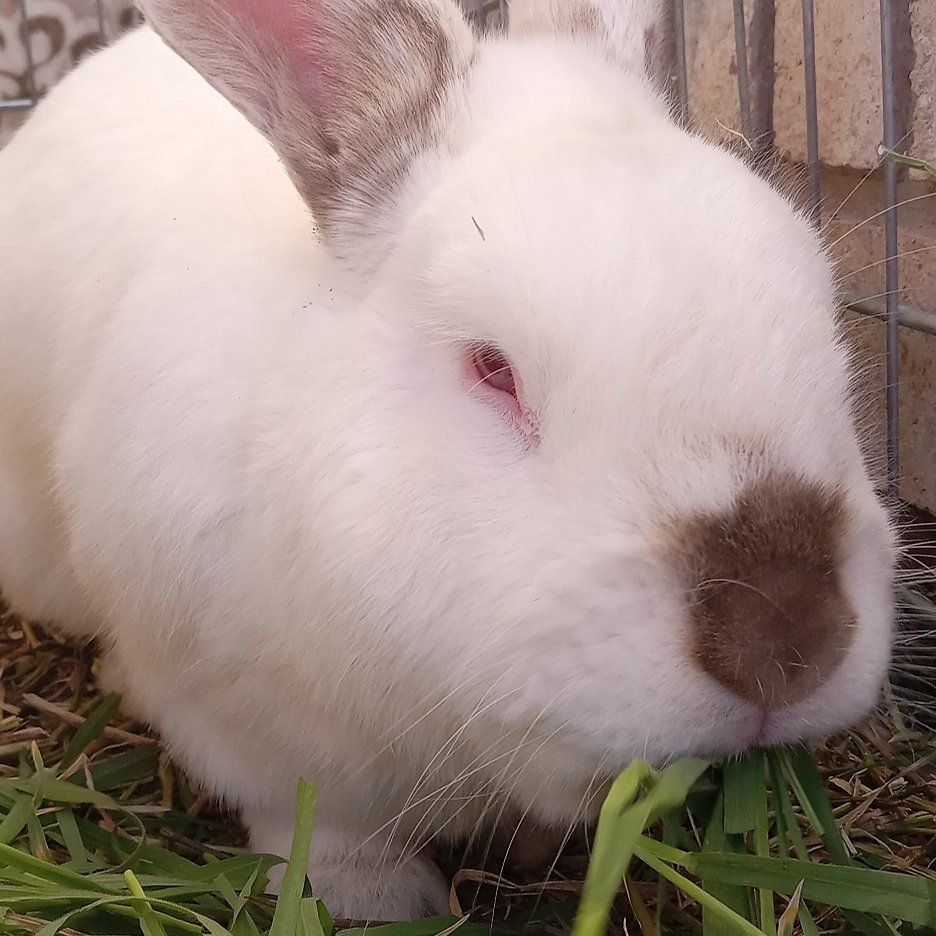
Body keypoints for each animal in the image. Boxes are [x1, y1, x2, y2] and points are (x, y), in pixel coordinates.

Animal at [0, 0, 895, 921]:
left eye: (823, 314)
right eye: (493, 368)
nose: (787, 637)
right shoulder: (246, 723)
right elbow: (319, 827)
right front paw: (376, 901)